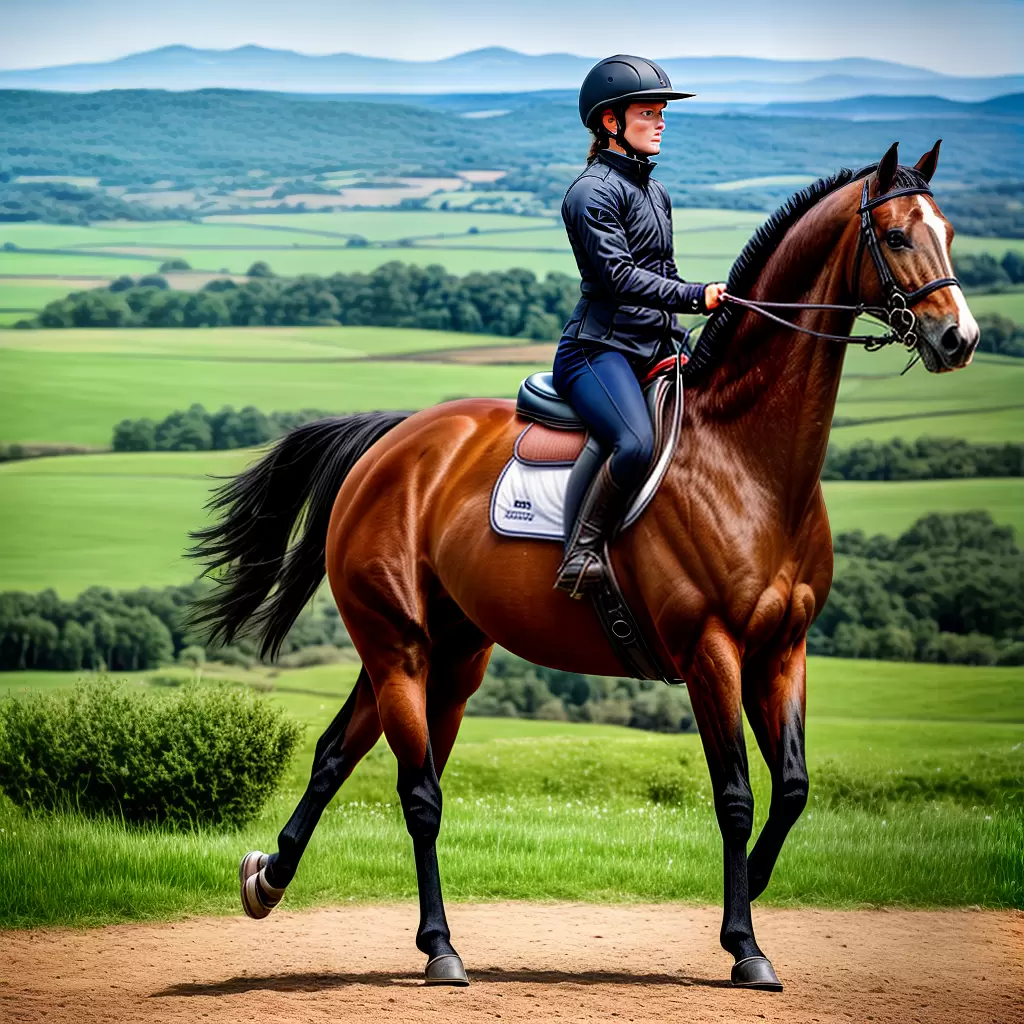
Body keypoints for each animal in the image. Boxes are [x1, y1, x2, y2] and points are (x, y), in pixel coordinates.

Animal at [190, 141, 978, 991]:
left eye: (949, 232)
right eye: (896, 236)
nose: (959, 340)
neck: (749, 463)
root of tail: (393, 442)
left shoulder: (782, 649)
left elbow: (794, 788)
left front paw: (760, 885)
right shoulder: (712, 650)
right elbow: (735, 796)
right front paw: (745, 944)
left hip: (448, 653)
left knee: (336, 754)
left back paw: (268, 880)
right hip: (398, 645)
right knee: (419, 791)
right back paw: (440, 949)